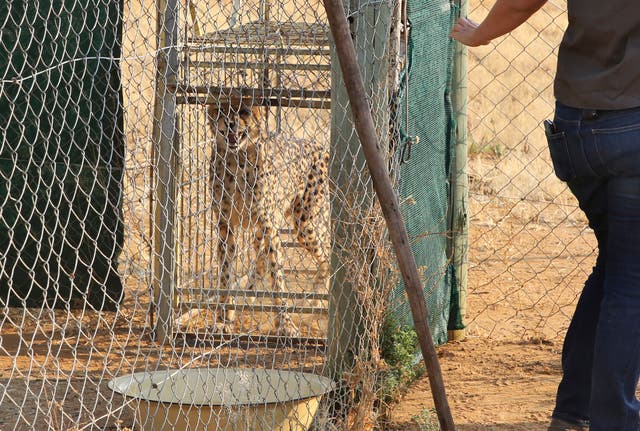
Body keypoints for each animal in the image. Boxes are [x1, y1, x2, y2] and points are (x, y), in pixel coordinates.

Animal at [208, 100, 330, 338]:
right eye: (221, 110)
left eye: (244, 111)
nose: (230, 123)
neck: (237, 158)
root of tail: (317, 145)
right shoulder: (226, 227)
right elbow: (226, 274)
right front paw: (222, 319)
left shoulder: (270, 228)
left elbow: (277, 277)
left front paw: (285, 324)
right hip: (264, 231)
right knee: (260, 259)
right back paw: (248, 295)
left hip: (305, 223)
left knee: (327, 252)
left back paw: (319, 300)